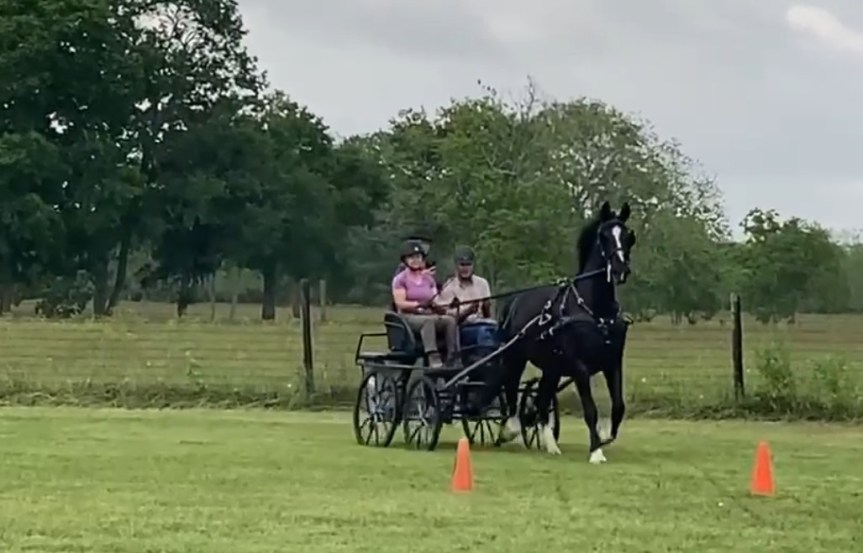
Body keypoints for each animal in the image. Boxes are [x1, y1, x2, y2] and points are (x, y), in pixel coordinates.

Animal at [477, 200, 637, 463]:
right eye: (603, 236)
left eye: (628, 236)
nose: (620, 270)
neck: (595, 311)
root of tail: (515, 300)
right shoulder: (580, 367)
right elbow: (590, 410)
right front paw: (596, 451)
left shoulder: (613, 362)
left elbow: (618, 407)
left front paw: (605, 436)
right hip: (515, 356)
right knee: (511, 389)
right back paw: (511, 428)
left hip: (552, 367)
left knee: (542, 401)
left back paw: (550, 443)